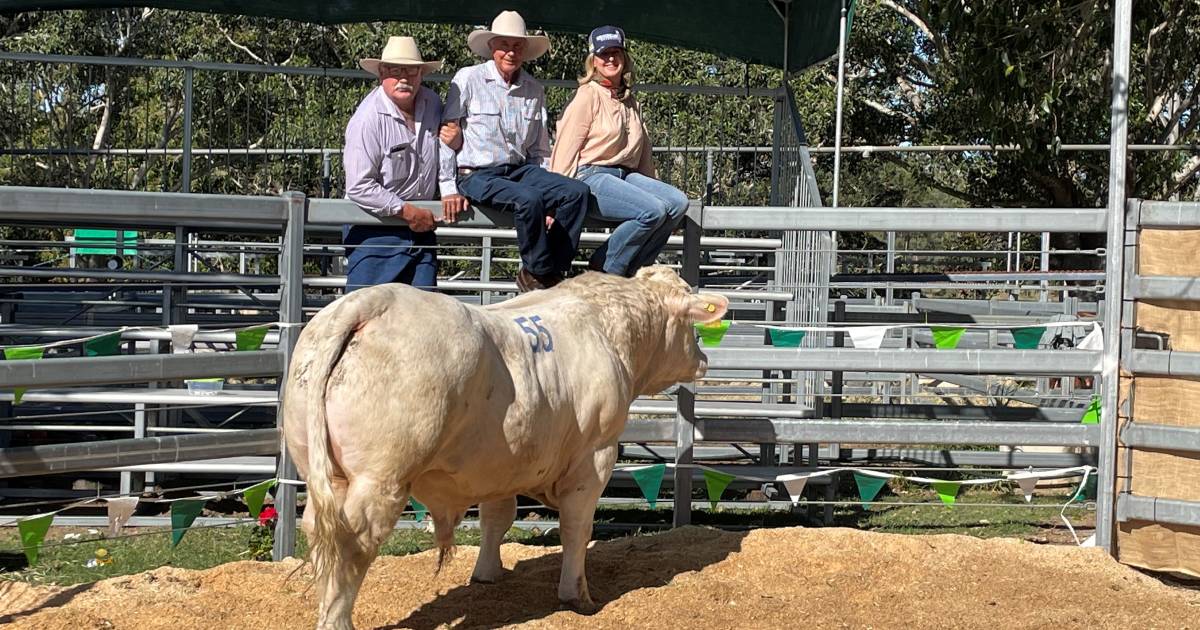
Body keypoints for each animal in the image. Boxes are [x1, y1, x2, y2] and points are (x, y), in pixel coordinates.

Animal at [283, 265, 729, 628]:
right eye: (690, 323)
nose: (703, 358)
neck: (606, 328)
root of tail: (370, 302)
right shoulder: (594, 458)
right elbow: (576, 527)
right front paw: (578, 596)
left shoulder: (502, 462)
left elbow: (497, 518)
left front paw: (487, 573)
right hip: (380, 477)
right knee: (352, 541)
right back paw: (337, 621)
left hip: (322, 469)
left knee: (318, 531)